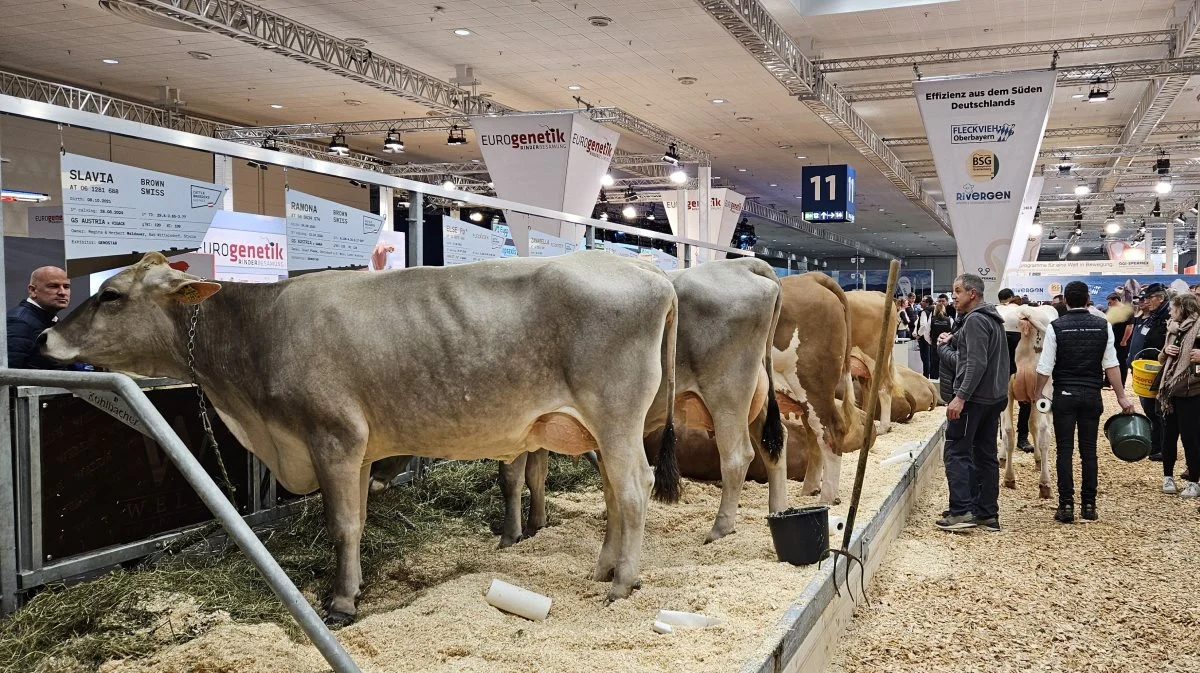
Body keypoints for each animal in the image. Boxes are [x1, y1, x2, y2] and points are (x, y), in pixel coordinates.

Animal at [42, 250, 681, 623]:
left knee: (634, 488)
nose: (47, 337)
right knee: (614, 493)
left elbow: (342, 524)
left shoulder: (334, 437)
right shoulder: (358, 449)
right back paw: (603, 569)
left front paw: (342, 601)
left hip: (616, 417)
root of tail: (646, 271)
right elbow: (362, 516)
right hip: (599, 428)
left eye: (110, 294)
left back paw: (623, 584)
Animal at [504, 256, 792, 547]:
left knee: (737, 456)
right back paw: (778, 511)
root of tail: (744, 263)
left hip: (728, 395)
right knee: (773, 445)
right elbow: (536, 473)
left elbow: (512, 477)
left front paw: (511, 535)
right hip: (755, 395)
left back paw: (719, 529)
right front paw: (535, 524)